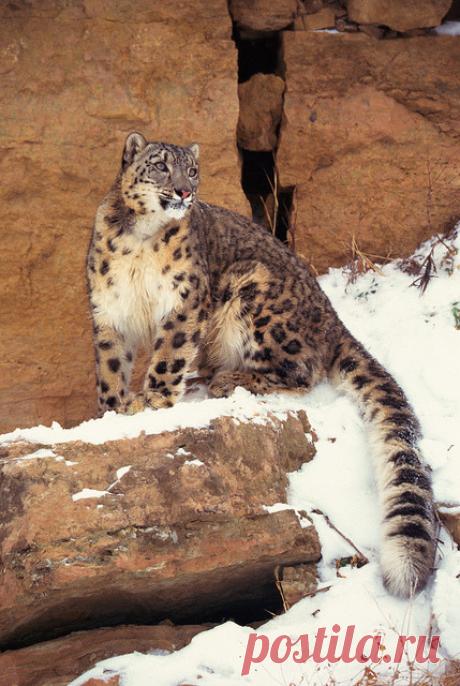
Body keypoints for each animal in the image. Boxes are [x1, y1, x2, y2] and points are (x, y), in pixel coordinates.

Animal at [87, 131, 436, 600]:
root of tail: (333, 318)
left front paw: (153, 400)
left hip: (257, 299)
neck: (140, 241)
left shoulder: (184, 302)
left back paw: (228, 379)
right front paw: (111, 411)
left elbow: (167, 356)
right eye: (160, 165)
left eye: (191, 170)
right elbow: (110, 370)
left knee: (301, 372)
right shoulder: (109, 311)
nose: (184, 190)